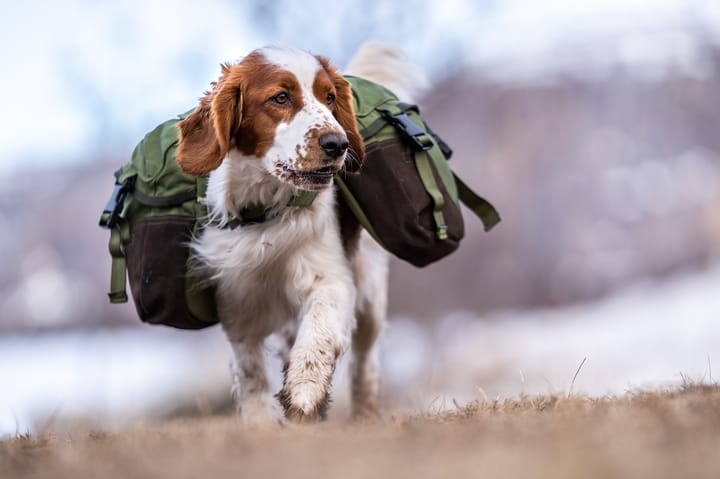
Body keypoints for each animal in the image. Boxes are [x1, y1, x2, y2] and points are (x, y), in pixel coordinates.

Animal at [175, 42, 428, 424]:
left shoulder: (331, 277)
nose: (337, 143)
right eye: (280, 98)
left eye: (330, 97)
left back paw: (364, 416)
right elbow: (249, 372)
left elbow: (319, 329)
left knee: (365, 360)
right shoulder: (238, 303)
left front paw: (305, 390)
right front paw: (261, 422)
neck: (266, 210)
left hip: (370, 290)